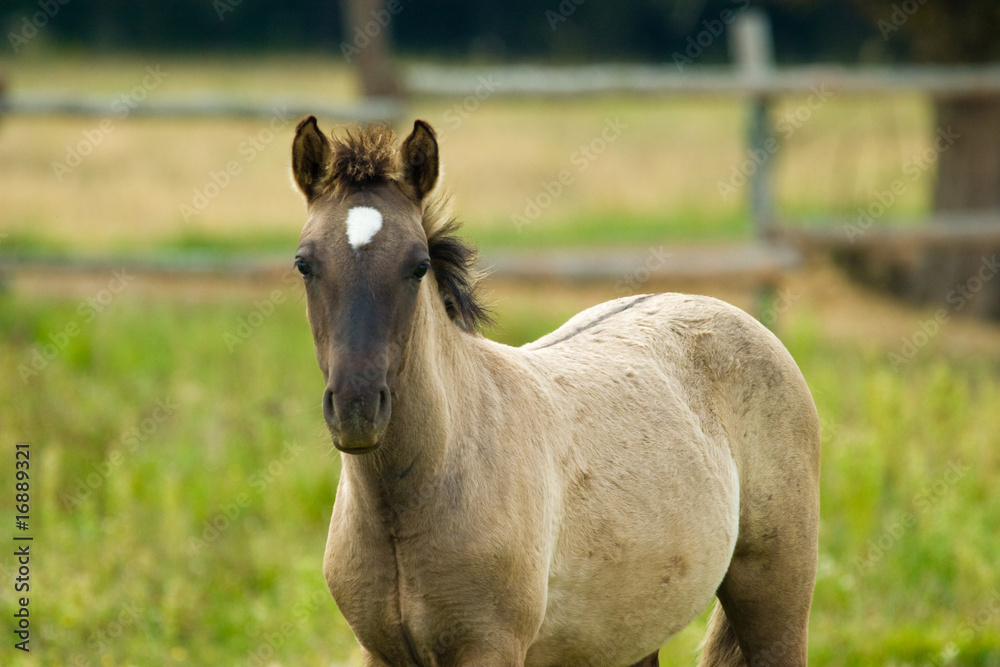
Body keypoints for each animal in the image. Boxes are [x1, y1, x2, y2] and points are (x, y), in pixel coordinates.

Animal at [288, 117, 821, 667]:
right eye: (304, 263)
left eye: (417, 266)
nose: (356, 407)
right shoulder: (379, 652)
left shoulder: (492, 648)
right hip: (630, 634)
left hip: (776, 596)